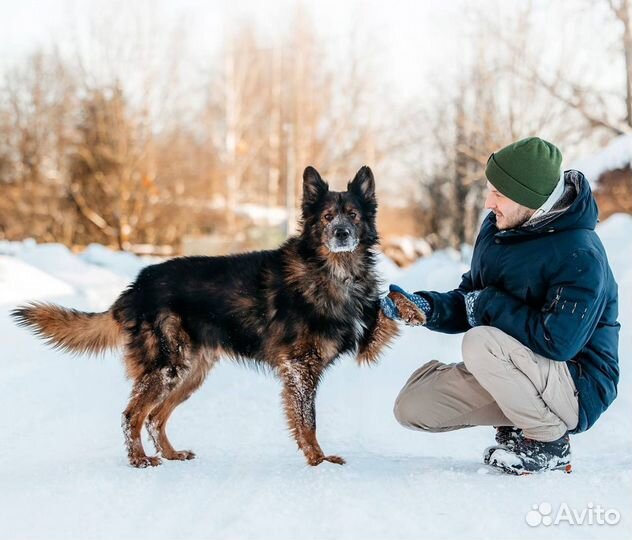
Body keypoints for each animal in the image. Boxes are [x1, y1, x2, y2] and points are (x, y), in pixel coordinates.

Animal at [11, 166, 424, 468]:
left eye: (353, 214)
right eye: (326, 217)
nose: (341, 233)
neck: (331, 271)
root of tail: (136, 286)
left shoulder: (342, 347)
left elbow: (385, 304)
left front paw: (412, 306)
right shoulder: (300, 368)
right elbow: (307, 421)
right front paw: (318, 460)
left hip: (190, 373)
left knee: (155, 417)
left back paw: (171, 454)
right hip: (169, 367)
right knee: (133, 414)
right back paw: (140, 460)